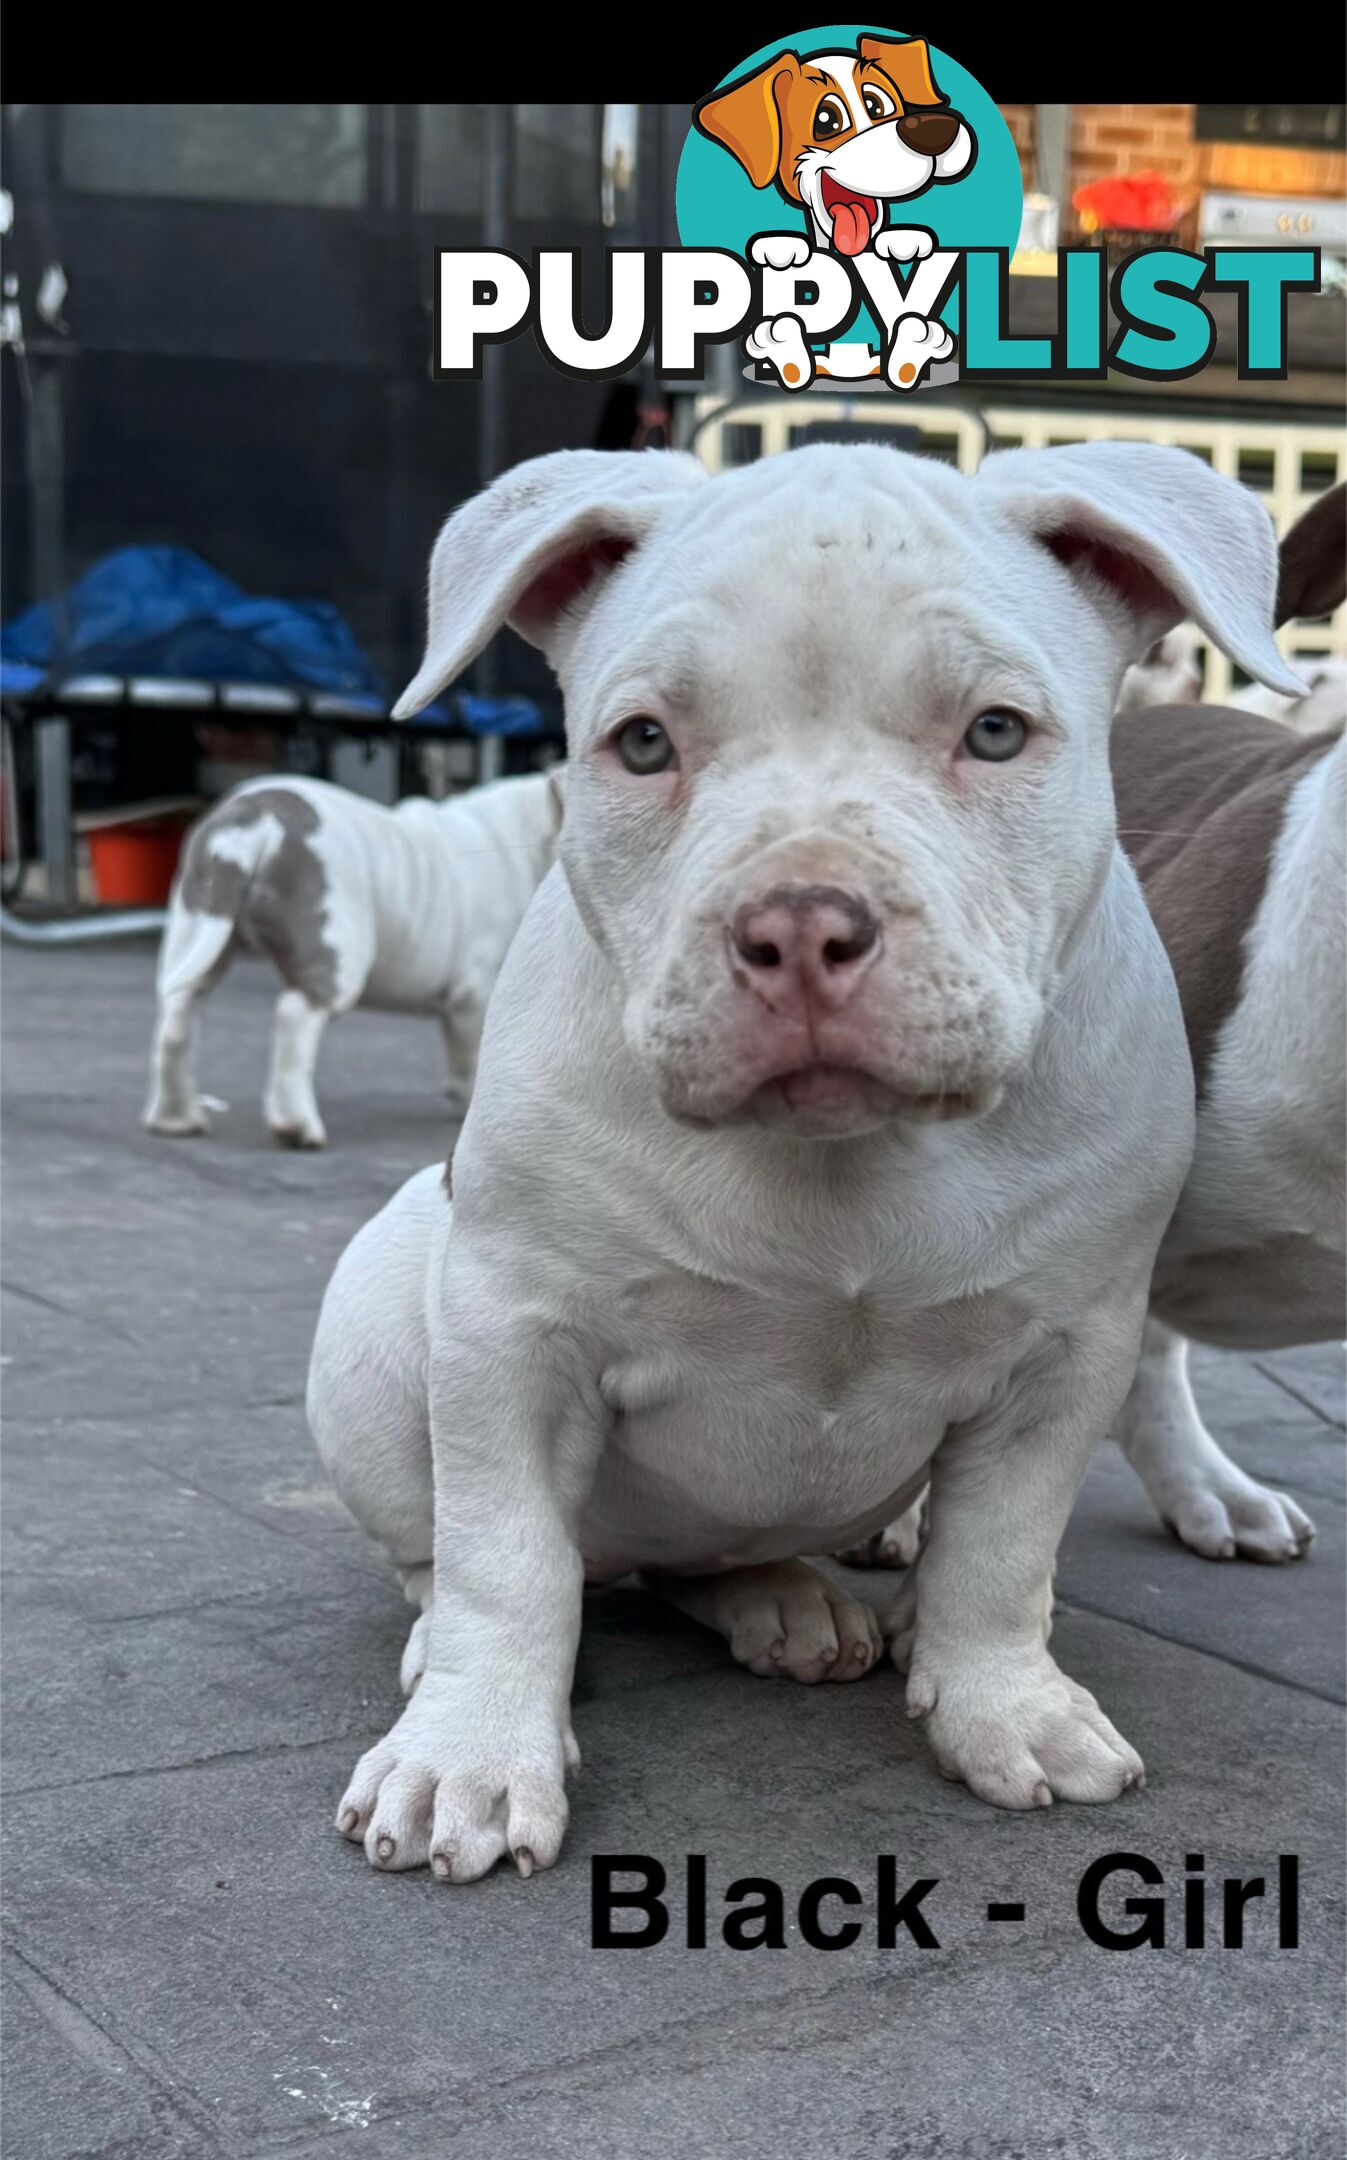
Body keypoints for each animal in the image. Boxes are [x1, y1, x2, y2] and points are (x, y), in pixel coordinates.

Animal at [145, 773, 561, 1149]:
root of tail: (252, 820)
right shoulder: (475, 994)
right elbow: (471, 1056)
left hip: (198, 925)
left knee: (178, 1014)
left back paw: (176, 1119)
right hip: (338, 947)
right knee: (296, 1017)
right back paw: (297, 1126)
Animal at [308, 434, 1303, 1874]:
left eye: (994, 730)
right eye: (643, 743)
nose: (796, 923)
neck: (843, 1159)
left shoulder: (1067, 1352)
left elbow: (1001, 1552)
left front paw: (1005, 1710)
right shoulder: (510, 1328)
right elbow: (505, 1552)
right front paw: (472, 1756)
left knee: (720, 1560)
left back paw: (793, 1602)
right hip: (382, 1316)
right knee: (463, 1555)